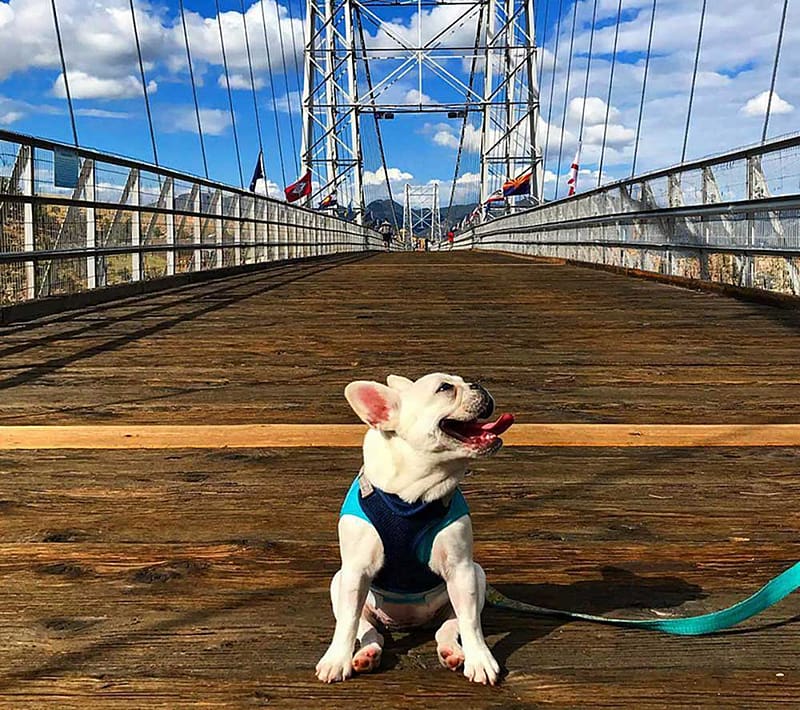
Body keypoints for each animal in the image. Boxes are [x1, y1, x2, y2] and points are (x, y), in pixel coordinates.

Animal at [316, 376, 516, 688]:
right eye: (445, 388)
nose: (477, 384)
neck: (413, 492)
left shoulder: (462, 570)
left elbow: (471, 623)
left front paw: (481, 660)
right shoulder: (355, 571)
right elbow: (347, 622)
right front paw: (336, 660)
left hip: (477, 576)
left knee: (449, 627)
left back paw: (453, 652)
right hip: (340, 584)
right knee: (368, 630)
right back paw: (366, 655)